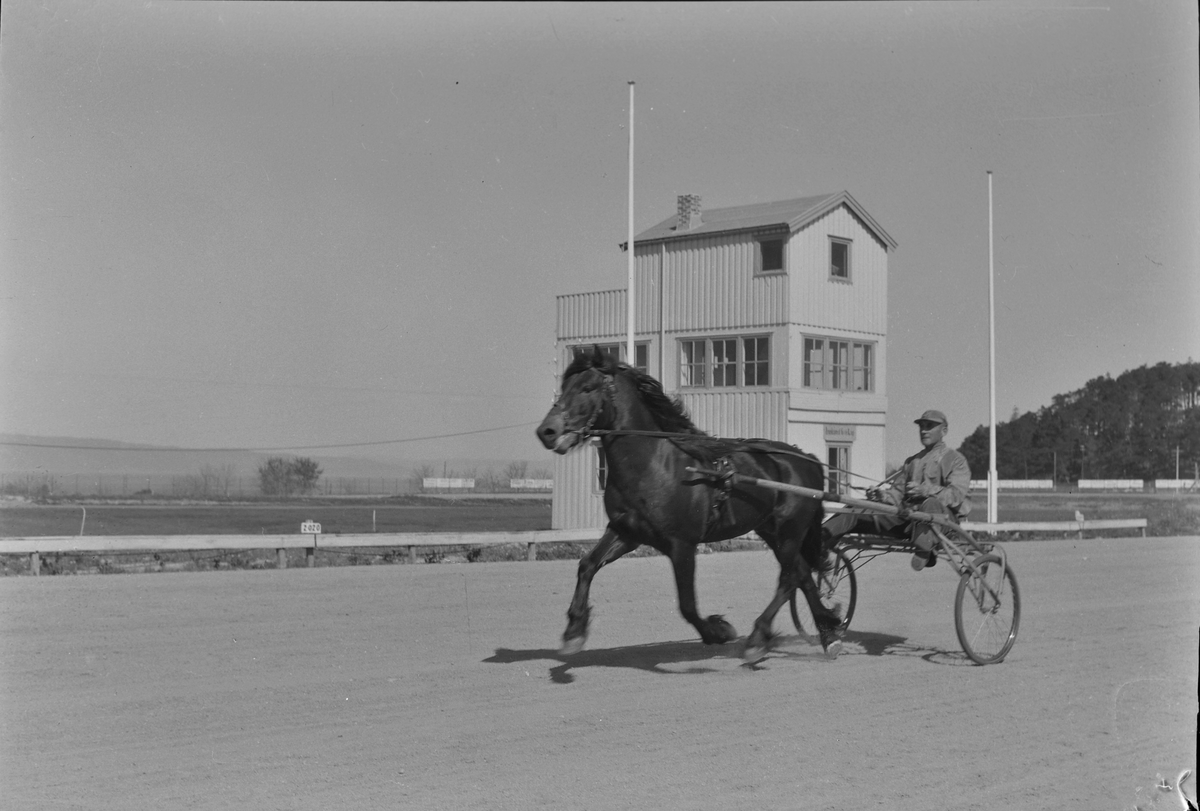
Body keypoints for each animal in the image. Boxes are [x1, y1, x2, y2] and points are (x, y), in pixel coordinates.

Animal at [535, 347, 844, 657]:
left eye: (587, 387)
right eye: (564, 386)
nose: (546, 431)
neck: (653, 464)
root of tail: (808, 459)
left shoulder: (681, 545)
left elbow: (687, 605)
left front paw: (718, 630)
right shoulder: (626, 532)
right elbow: (587, 565)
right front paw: (574, 630)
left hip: (789, 530)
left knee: (789, 577)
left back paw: (760, 636)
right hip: (771, 531)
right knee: (801, 574)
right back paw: (828, 632)